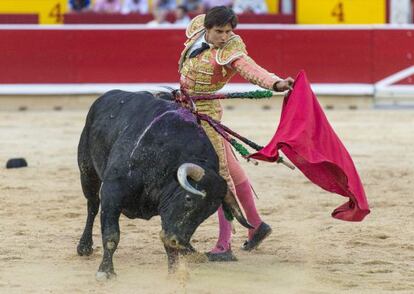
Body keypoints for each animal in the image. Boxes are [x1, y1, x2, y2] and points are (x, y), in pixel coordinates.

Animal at [77, 90, 252, 280]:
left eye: (208, 213)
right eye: (189, 199)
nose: (178, 241)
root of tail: (106, 96)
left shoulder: (168, 212)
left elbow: (168, 241)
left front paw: (174, 273)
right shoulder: (112, 192)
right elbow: (111, 235)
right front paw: (106, 271)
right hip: (87, 172)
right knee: (92, 205)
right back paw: (84, 246)